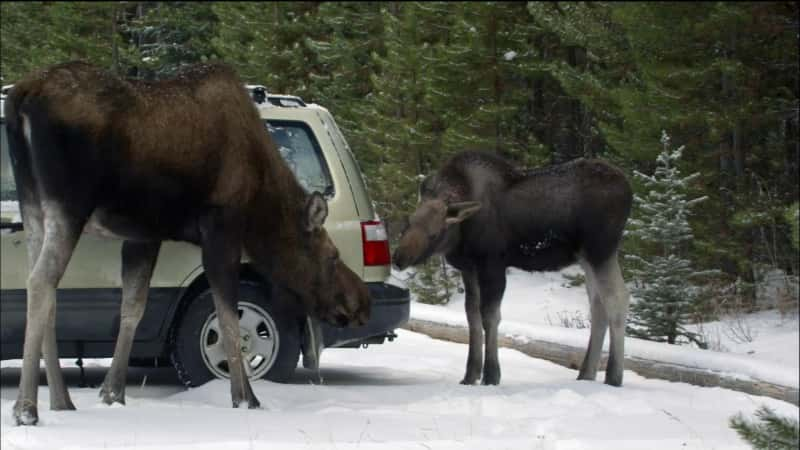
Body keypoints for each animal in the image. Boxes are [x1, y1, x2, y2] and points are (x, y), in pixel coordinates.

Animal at [5, 62, 372, 426]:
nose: (362, 302)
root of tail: (23, 96)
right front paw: (246, 398)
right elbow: (227, 318)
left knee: (47, 288)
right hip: (70, 203)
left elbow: (133, 308)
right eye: (332, 256)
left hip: (32, 202)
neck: (259, 203)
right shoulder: (221, 228)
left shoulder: (143, 235)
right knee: (39, 281)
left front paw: (113, 392)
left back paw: (61, 400)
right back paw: (26, 408)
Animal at [394, 150, 632, 386]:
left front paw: (491, 375)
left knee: (617, 299)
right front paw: (470, 375)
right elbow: (472, 316)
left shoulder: (493, 264)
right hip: (585, 257)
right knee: (598, 304)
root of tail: (628, 189)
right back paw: (586, 374)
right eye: (407, 224)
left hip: (600, 250)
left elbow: (490, 316)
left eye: (435, 233)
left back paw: (614, 376)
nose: (398, 258)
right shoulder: (469, 269)